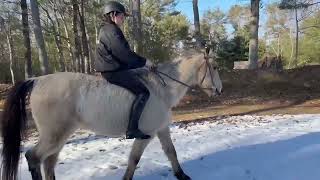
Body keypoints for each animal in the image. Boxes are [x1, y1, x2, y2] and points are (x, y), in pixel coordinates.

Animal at [0, 48, 222, 179]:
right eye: (215, 66)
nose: (219, 90)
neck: (161, 88)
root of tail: (37, 80)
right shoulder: (146, 134)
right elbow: (134, 159)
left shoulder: (162, 129)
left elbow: (171, 152)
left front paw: (182, 175)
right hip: (54, 136)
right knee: (33, 157)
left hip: (59, 136)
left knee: (48, 163)